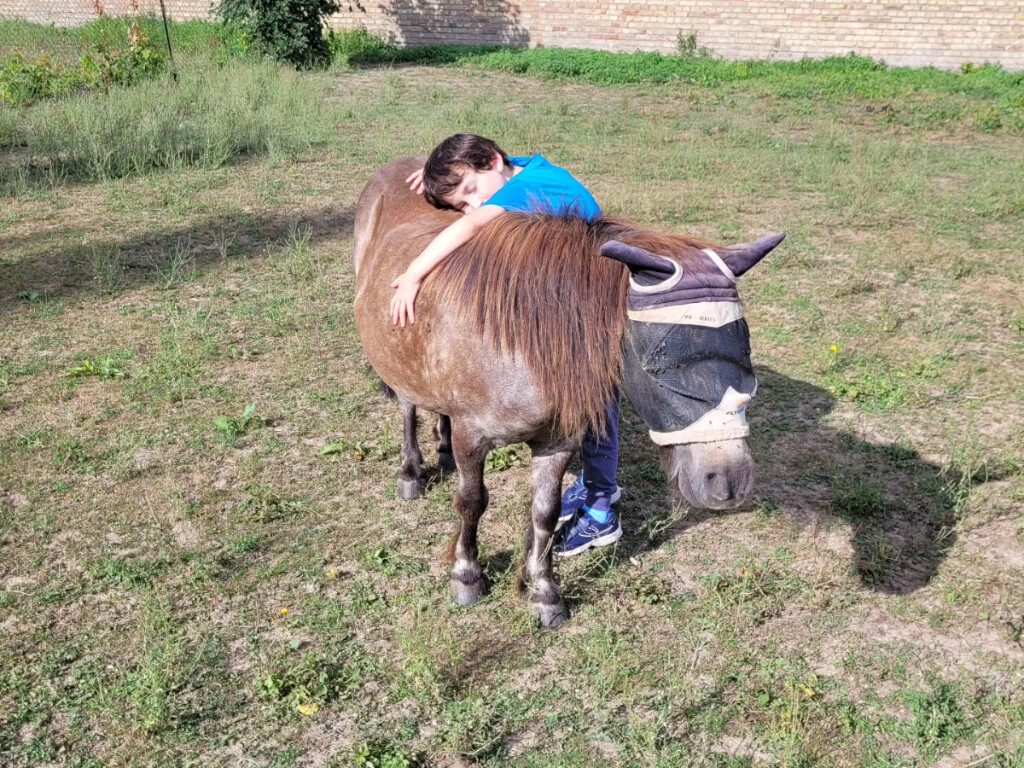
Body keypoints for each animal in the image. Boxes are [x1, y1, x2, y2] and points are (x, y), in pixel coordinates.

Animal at [352, 157, 783, 627]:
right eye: (657, 364)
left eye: (745, 352)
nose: (729, 480)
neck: (521, 343)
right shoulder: (474, 438)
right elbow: (471, 502)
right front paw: (466, 576)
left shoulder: (556, 443)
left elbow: (544, 512)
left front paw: (544, 592)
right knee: (408, 408)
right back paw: (410, 472)